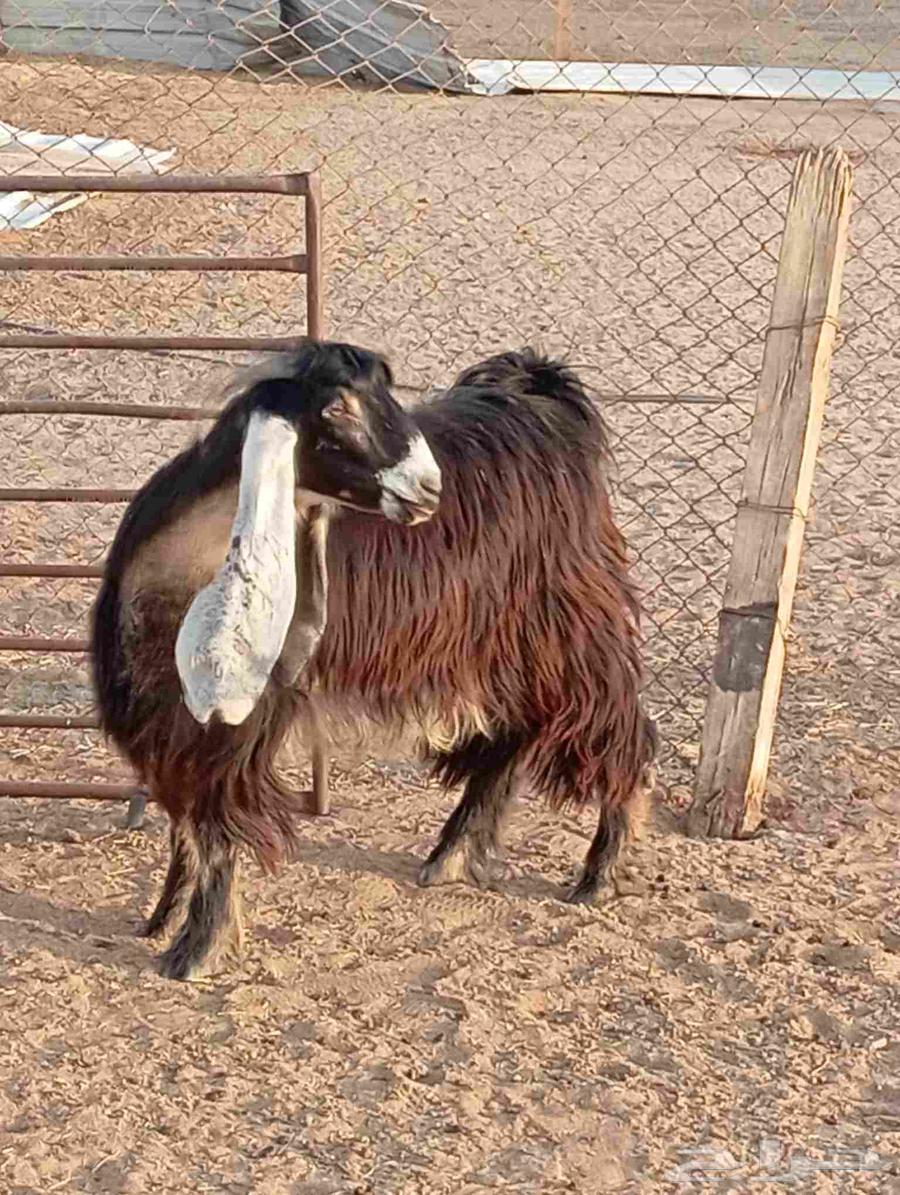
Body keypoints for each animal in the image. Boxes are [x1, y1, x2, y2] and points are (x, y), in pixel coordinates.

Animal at [92, 340, 656, 981]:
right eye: (336, 408)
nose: (429, 488)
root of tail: (536, 395)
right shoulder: (164, 722)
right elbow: (185, 825)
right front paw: (163, 920)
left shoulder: (235, 728)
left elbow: (214, 830)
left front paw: (198, 948)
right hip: (501, 646)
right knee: (514, 736)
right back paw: (452, 856)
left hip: (572, 629)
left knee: (620, 727)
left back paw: (601, 871)